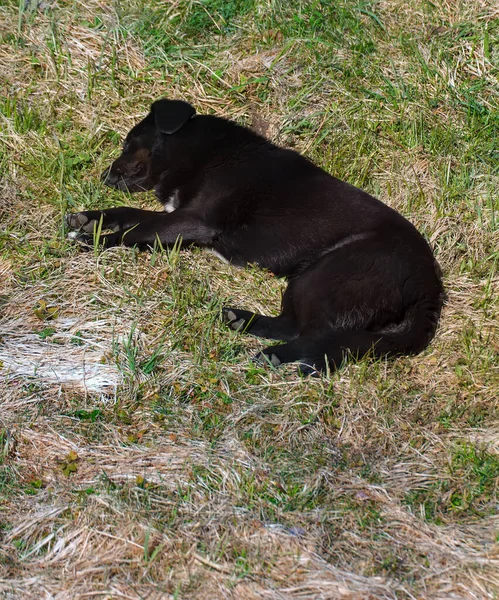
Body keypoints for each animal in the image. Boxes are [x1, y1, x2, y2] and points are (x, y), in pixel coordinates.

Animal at [66, 100, 446, 372]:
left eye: (129, 142)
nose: (104, 175)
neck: (209, 155)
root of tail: (428, 287)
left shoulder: (194, 220)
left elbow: (136, 230)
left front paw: (96, 241)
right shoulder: (178, 215)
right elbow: (129, 214)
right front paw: (89, 218)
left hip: (323, 276)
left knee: (310, 332)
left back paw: (278, 354)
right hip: (308, 278)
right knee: (291, 325)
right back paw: (241, 320)